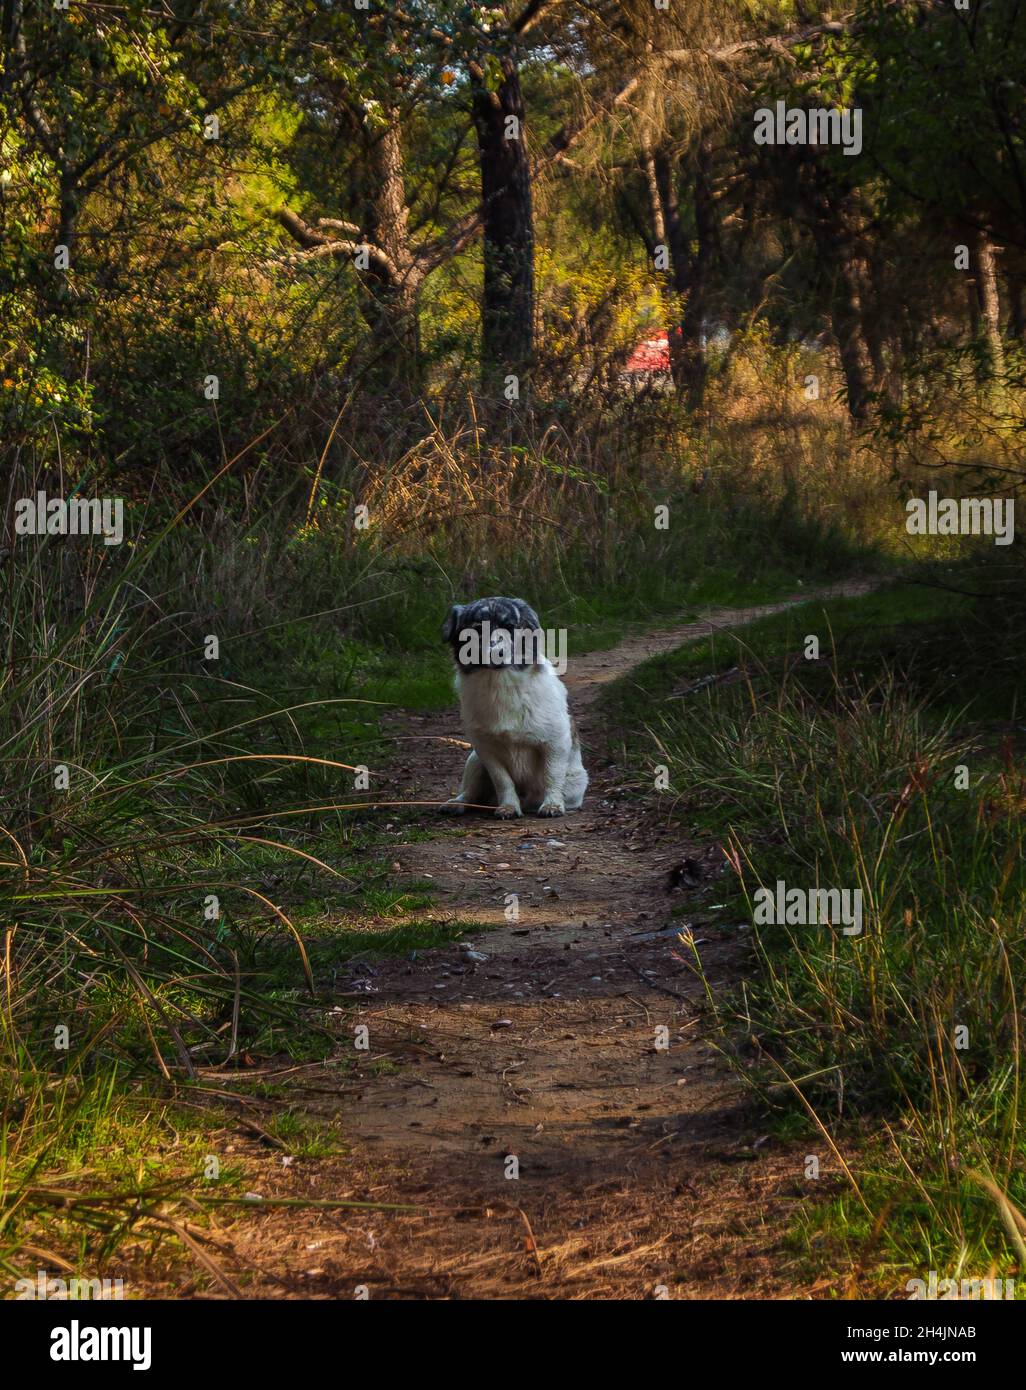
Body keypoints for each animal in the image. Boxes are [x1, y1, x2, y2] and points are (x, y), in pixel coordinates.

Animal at [436, 594, 583, 811]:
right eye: (477, 629)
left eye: (511, 626)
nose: (496, 652)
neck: (500, 684)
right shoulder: (486, 750)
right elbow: (503, 781)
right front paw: (509, 806)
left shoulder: (555, 742)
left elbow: (552, 775)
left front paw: (552, 804)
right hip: (474, 760)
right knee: (470, 793)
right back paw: (457, 803)